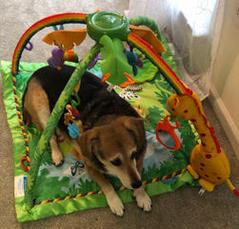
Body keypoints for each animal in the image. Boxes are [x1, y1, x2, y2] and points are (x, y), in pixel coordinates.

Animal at [23, 64, 152, 215]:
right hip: (43, 108)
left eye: (133, 154)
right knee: (49, 136)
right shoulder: (90, 166)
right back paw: (57, 154)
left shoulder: (139, 157)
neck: (107, 114)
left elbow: (138, 169)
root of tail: (36, 72)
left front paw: (142, 195)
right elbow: (106, 184)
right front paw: (115, 202)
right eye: (115, 162)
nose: (136, 184)